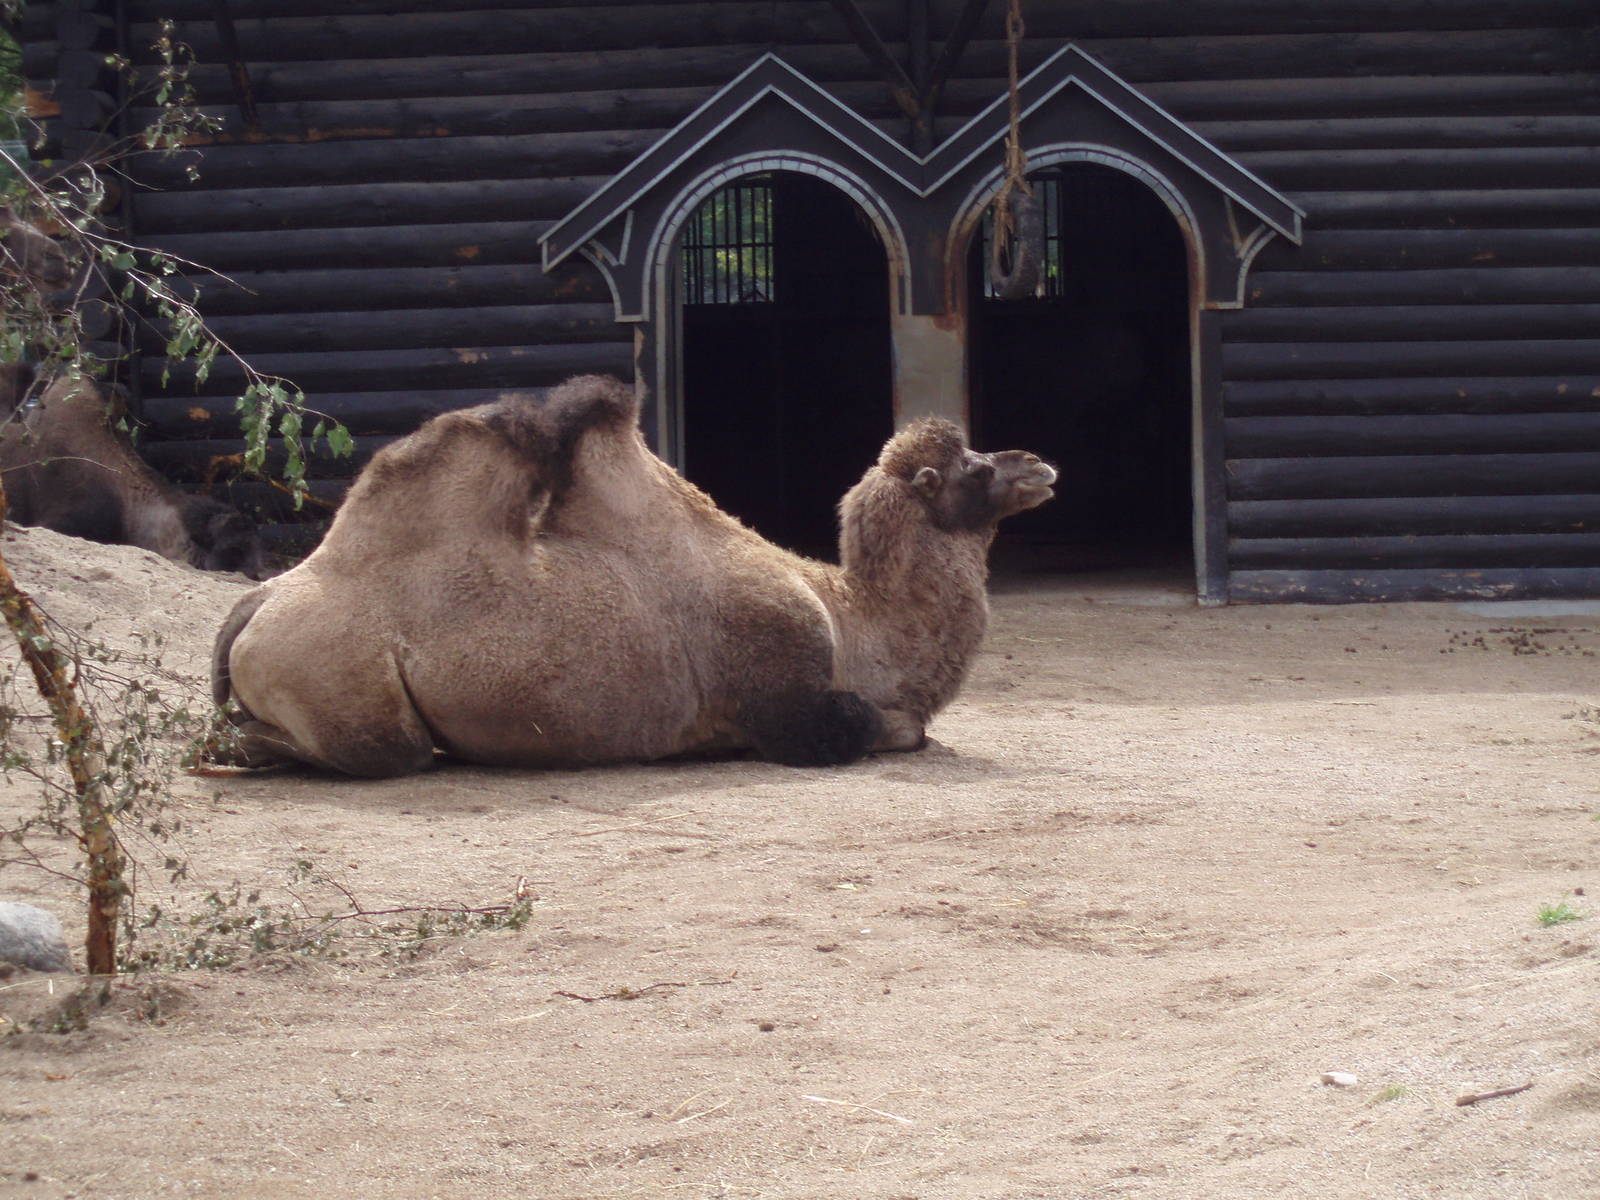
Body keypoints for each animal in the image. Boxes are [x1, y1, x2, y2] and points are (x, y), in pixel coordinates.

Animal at [210, 374, 1055, 776]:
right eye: (974, 467)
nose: (1041, 466)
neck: (853, 622)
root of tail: (259, 600)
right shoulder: (788, 700)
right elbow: (896, 728)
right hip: (350, 695)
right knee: (385, 751)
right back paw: (244, 749)